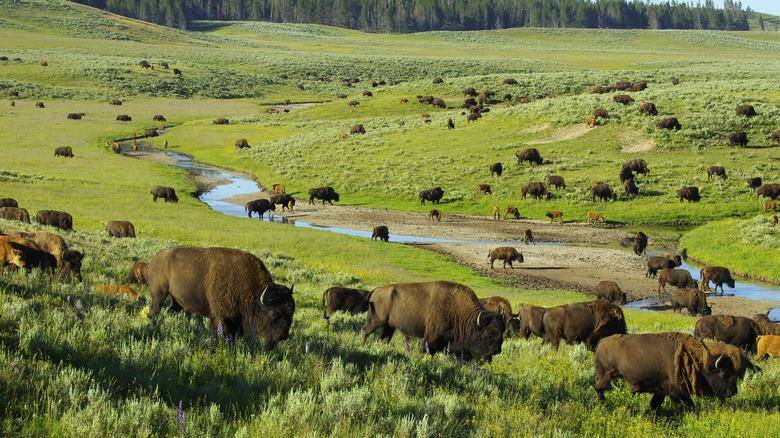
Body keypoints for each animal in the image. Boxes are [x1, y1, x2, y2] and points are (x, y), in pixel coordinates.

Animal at [148, 246, 295, 349]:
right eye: (274, 313)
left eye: (291, 313)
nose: (283, 336)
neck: (252, 293)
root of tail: (155, 258)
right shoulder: (223, 318)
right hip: (159, 295)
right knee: (155, 311)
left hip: (176, 300)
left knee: (170, 311)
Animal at [360, 281, 505, 361]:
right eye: (488, 334)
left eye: (502, 333)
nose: (497, 350)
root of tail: (376, 290)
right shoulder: (432, 339)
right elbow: (427, 351)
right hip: (376, 321)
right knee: (365, 331)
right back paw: (361, 347)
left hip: (389, 326)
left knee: (384, 339)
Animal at [594, 332, 738, 411]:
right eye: (724, 374)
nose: (734, 391)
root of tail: (601, 342)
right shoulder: (677, 389)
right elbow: (689, 403)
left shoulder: (661, 390)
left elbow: (655, 404)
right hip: (606, 374)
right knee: (599, 387)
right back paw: (602, 402)